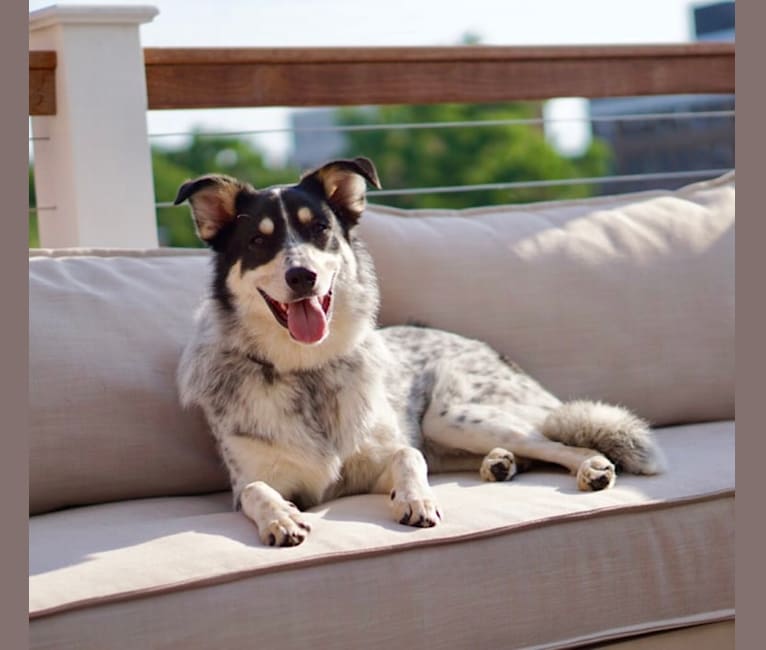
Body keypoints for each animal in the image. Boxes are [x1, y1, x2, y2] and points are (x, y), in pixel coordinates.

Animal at [176, 158, 664, 548]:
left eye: (321, 230)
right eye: (258, 242)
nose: (302, 276)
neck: (306, 370)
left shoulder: (376, 466)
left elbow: (408, 457)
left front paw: (417, 499)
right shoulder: (250, 482)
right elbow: (258, 490)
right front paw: (281, 519)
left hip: (454, 416)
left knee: (553, 442)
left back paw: (590, 466)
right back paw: (501, 464)